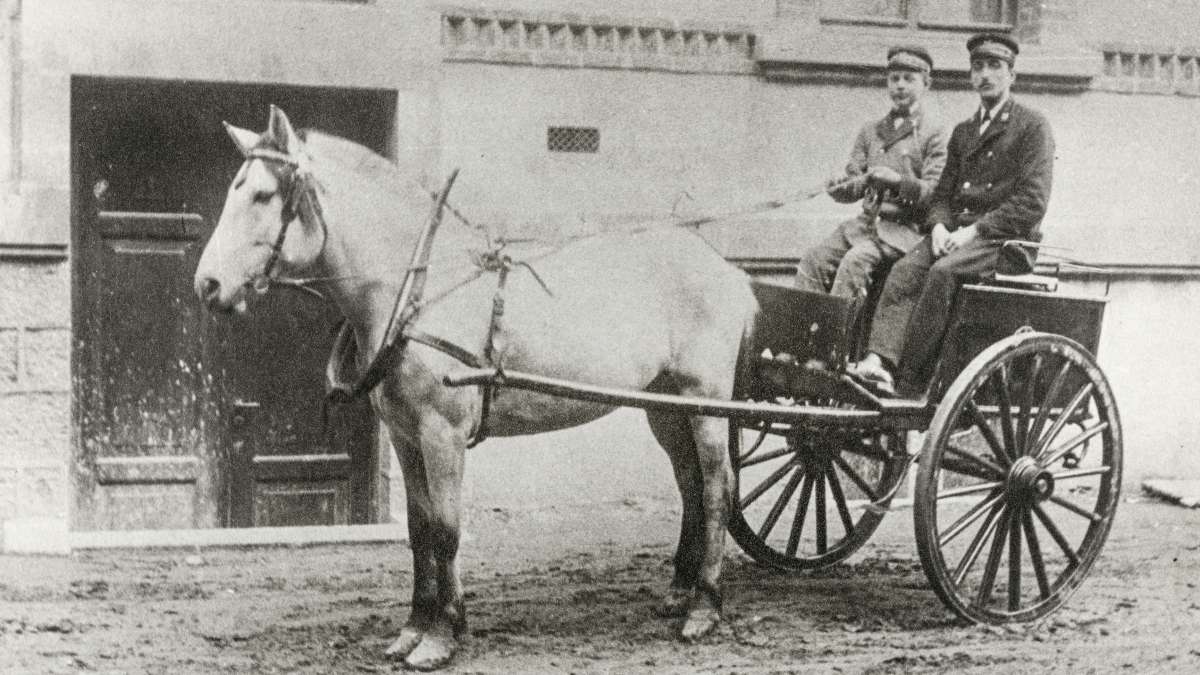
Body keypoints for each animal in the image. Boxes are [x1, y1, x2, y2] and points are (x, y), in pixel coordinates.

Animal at [194, 106, 758, 667]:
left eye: (263, 195)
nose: (207, 285)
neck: (418, 293)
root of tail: (727, 270)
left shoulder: (442, 434)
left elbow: (446, 529)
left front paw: (443, 635)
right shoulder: (405, 436)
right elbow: (419, 530)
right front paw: (412, 628)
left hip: (706, 400)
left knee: (717, 487)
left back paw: (705, 607)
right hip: (664, 404)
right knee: (690, 484)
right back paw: (680, 592)